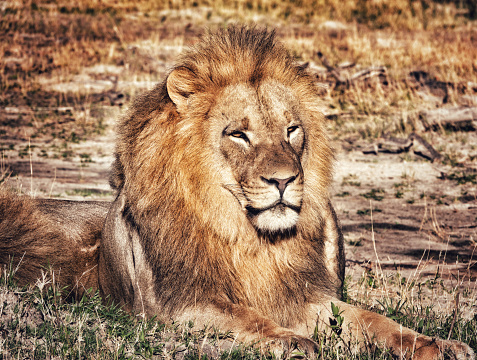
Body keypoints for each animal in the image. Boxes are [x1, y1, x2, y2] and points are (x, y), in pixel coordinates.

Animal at [0, 26, 472, 360]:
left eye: (292, 130)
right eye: (239, 134)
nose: (284, 180)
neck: (249, 239)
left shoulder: (306, 296)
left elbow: (375, 321)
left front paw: (439, 346)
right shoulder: (180, 305)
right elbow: (246, 318)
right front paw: (292, 341)